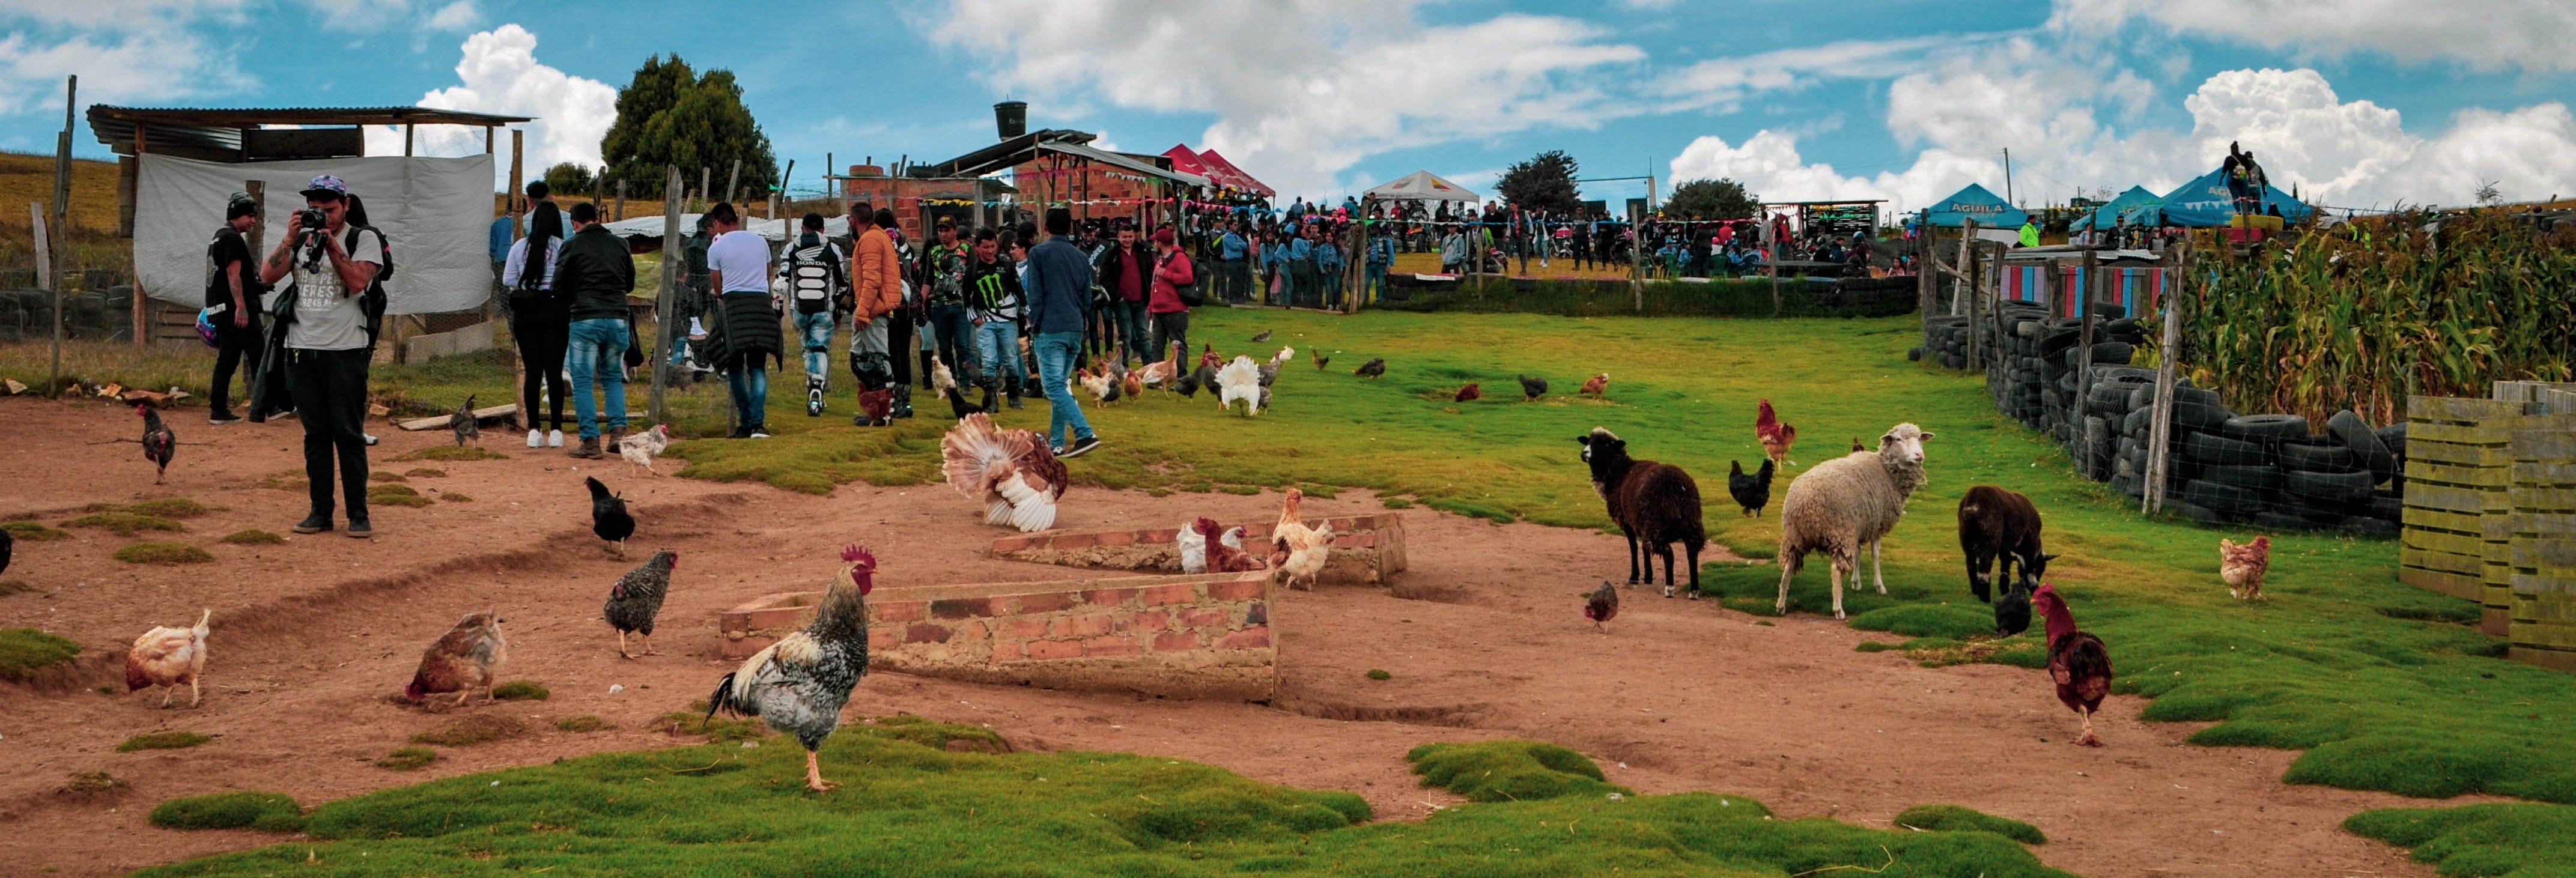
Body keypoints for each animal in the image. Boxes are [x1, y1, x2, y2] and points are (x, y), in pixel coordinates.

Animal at [1576, 425, 1700, 602]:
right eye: (1589, 440)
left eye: (1605, 444)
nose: (1584, 453)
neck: (1619, 473)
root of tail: (1677, 487)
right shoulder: (1641, 522)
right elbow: (1644, 547)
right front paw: (1648, 577)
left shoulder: (1627, 520)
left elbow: (1634, 547)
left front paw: (1634, 576)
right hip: (1690, 522)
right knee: (1692, 552)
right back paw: (1694, 590)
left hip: (1657, 524)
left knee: (1669, 553)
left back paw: (1669, 588)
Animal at [1772, 422, 1937, 617]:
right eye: (1898, 439)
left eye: (1920, 439)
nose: (1919, 456)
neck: (1888, 472)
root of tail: (1805, 501)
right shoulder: (1876, 525)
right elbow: (1875, 555)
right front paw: (1879, 586)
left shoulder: (1860, 525)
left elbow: (1858, 552)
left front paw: (1856, 583)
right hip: (1840, 531)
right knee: (1835, 569)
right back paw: (1838, 609)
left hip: (1795, 534)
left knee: (1789, 565)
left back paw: (1781, 605)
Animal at [1947, 481, 2050, 605]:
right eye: (2041, 568)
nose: (2035, 592)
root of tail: (1974, 500)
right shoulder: (2031, 541)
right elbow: (2030, 567)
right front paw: (2034, 586)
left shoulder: (2005, 546)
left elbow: (2006, 563)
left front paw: (2005, 590)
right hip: (1991, 535)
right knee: (1985, 565)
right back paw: (1985, 598)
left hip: (1966, 536)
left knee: (1971, 564)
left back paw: (1976, 591)